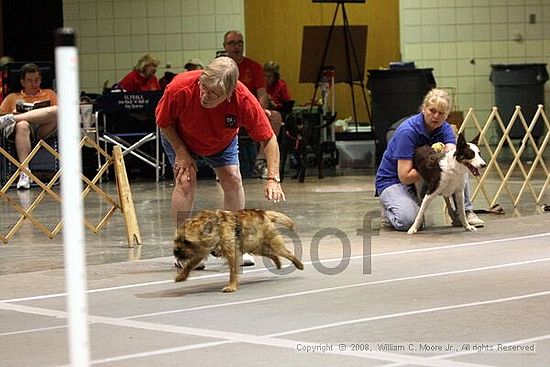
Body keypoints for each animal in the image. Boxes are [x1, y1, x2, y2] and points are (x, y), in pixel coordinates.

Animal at [175, 210, 304, 294]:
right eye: (177, 240)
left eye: (186, 241)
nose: (175, 251)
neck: (216, 228)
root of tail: (263, 213)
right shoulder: (201, 251)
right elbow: (189, 264)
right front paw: (181, 276)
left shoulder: (232, 254)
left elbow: (233, 272)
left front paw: (231, 286)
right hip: (255, 247)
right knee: (272, 254)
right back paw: (278, 263)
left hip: (273, 244)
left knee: (287, 253)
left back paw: (299, 264)